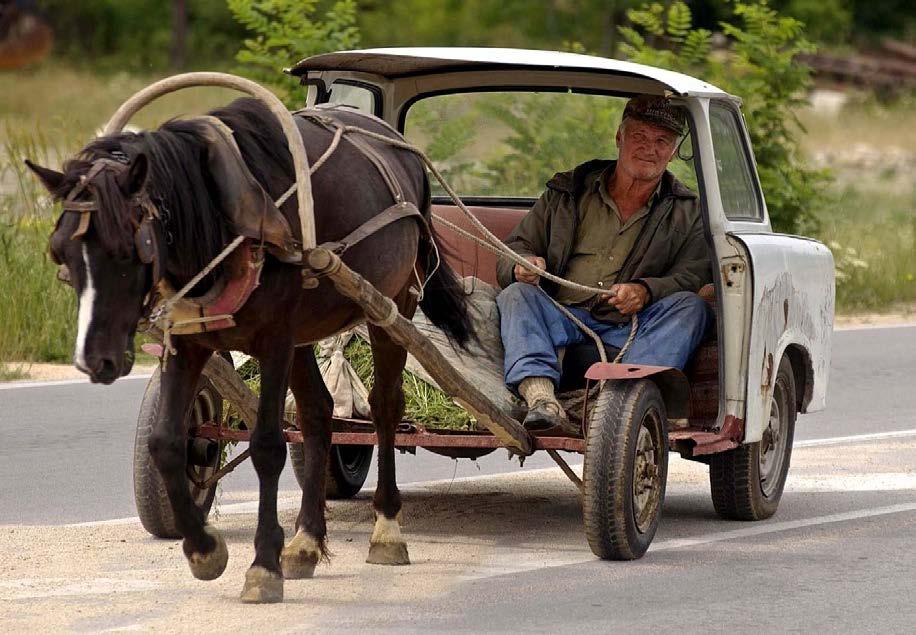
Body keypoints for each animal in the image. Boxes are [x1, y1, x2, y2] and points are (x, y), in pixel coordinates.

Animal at [25, 97, 476, 604]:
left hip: (392, 306)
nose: (95, 360)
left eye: (128, 249)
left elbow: (267, 446)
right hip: (308, 332)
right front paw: (204, 550)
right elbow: (166, 442)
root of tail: (402, 148)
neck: (222, 217)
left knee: (384, 409)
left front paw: (263, 566)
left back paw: (386, 530)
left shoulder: (275, 338)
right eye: (60, 253)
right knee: (318, 413)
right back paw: (306, 542)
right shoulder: (187, 340)